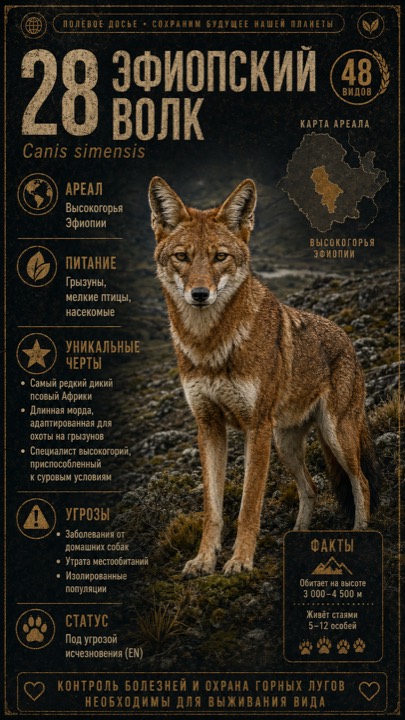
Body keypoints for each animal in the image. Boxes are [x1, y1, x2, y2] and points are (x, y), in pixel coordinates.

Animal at [149, 176, 380, 577]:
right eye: (182, 257)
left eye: (219, 257)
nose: (200, 294)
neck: (209, 345)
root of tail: (346, 338)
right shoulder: (209, 426)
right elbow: (212, 509)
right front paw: (204, 560)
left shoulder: (255, 427)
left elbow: (248, 505)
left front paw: (240, 561)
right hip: (285, 444)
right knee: (311, 488)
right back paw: (297, 535)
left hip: (335, 434)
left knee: (360, 482)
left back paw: (359, 533)